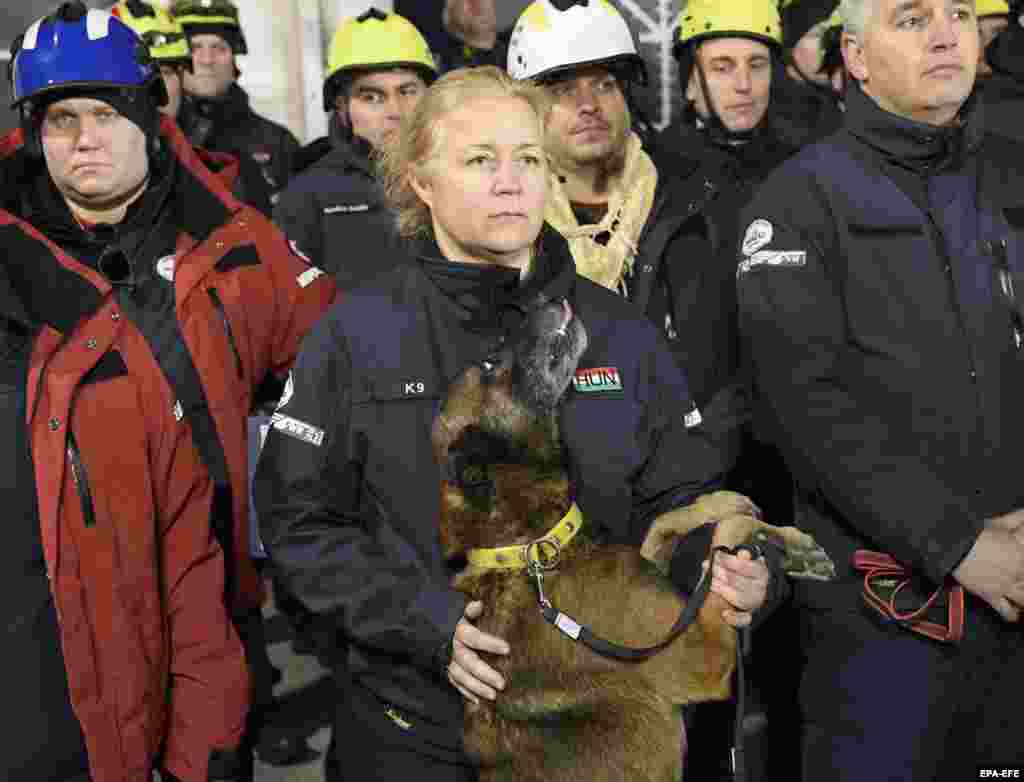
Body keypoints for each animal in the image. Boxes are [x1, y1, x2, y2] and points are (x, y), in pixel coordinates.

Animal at [434, 294, 831, 781]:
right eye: (491, 363)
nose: (547, 297)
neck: (531, 546)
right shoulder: (702, 655)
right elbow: (721, 547)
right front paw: (785, 544)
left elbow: (669, 521)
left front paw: (725, 502)